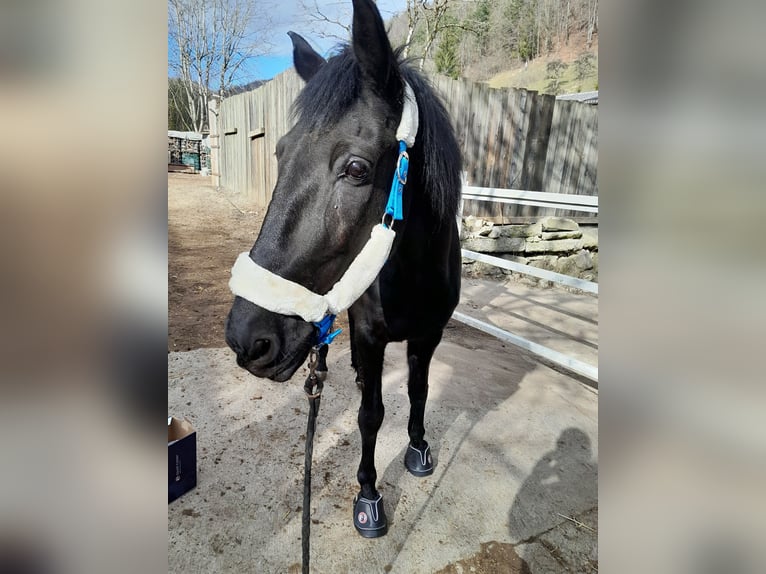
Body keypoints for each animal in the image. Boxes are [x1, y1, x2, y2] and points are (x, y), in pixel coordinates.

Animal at [222, 0, 462, 540]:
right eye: (280, 152)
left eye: (355, 169)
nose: (247, 339)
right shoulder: (371, 337)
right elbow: (370, 414)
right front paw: (369, 495)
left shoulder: (430, 334)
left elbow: (418, 390)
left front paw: (418, 448)